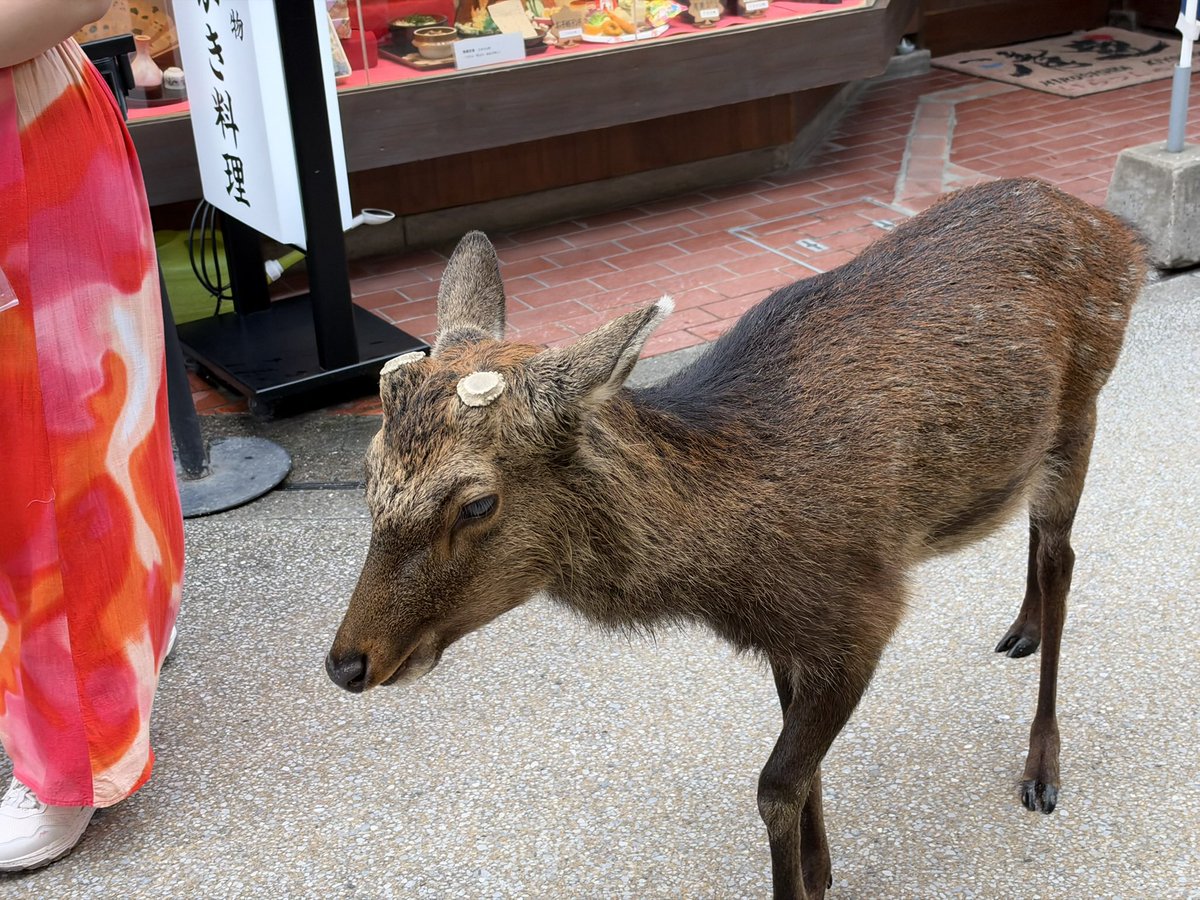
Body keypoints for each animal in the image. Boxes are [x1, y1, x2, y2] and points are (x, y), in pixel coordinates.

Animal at [325, 178, 1146, 899]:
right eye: (366, 471)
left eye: (476, 503)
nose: (346, 664)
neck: (731, 565)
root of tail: (1120, 235)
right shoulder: (790, 636)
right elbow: (799, 761)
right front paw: (820, 869)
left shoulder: (863, 613)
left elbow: (776, 783)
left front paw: (802, 882)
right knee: (1035, 537)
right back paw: (1021, 629)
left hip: (1081, 414)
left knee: (1062, 555)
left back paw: (1042, 768)